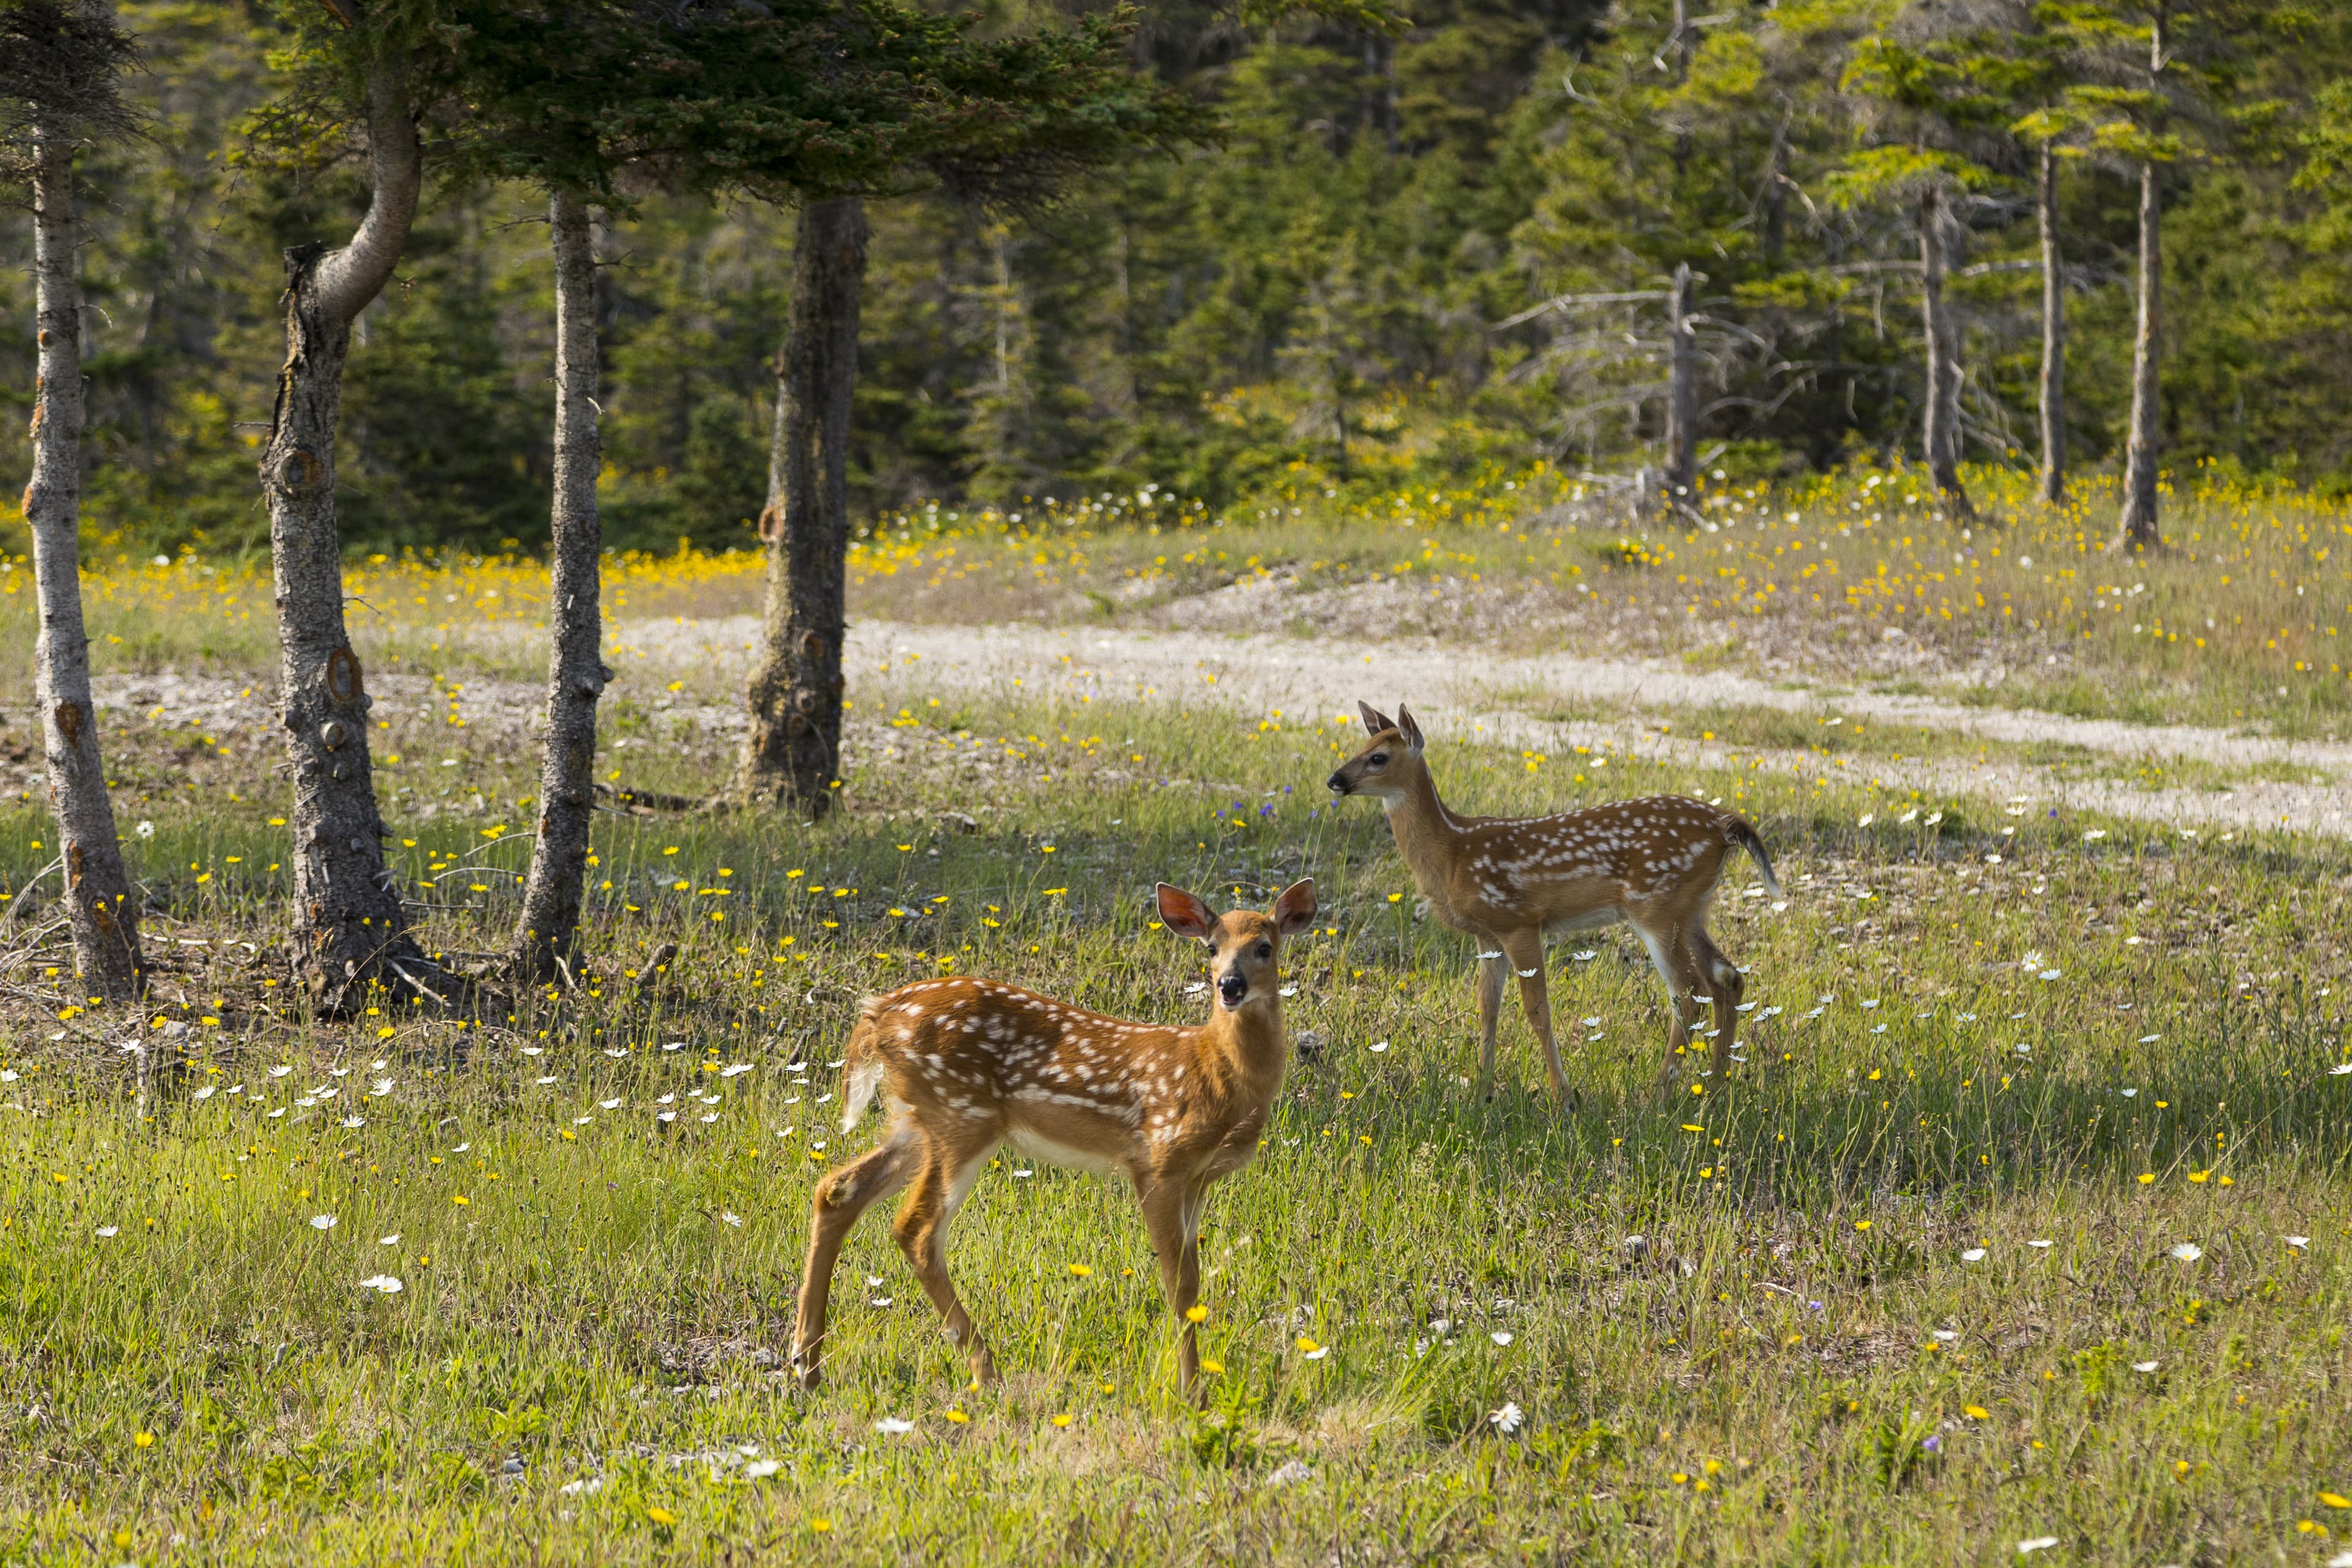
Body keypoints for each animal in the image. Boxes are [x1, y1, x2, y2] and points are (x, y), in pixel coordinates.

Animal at [791, 878, 1318, 1394]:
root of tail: (877, 1012)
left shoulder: (1198, 1179)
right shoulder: (1158, 1161)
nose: (1230, 985)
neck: (1215, 1072)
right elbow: (1179, 1286)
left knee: (837, 1190)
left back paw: (807, 1364)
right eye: (1211, 948)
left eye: (1265, 947)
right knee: (915, 1230)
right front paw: (1190, 1394)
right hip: (961, 1116)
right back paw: (986, 1372)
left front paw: (1193, 1389)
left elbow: (1191, 1287)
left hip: (916, 1121)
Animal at [1326, 702, 1776, 1102]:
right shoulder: (1487, 936)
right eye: (1359, 748)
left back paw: (1657, 1096)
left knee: (1688, 991)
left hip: (1657, 908)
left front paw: (1564, 1099)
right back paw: (1714, 1090)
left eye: (1378, 758)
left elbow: (1537, 1012)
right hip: (1693, 907)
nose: (1334, 779)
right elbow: (1488, 1009)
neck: (1453, 852)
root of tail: (1723, 824)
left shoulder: (1519, 921)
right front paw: (1481, 1093)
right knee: (1726, 977)